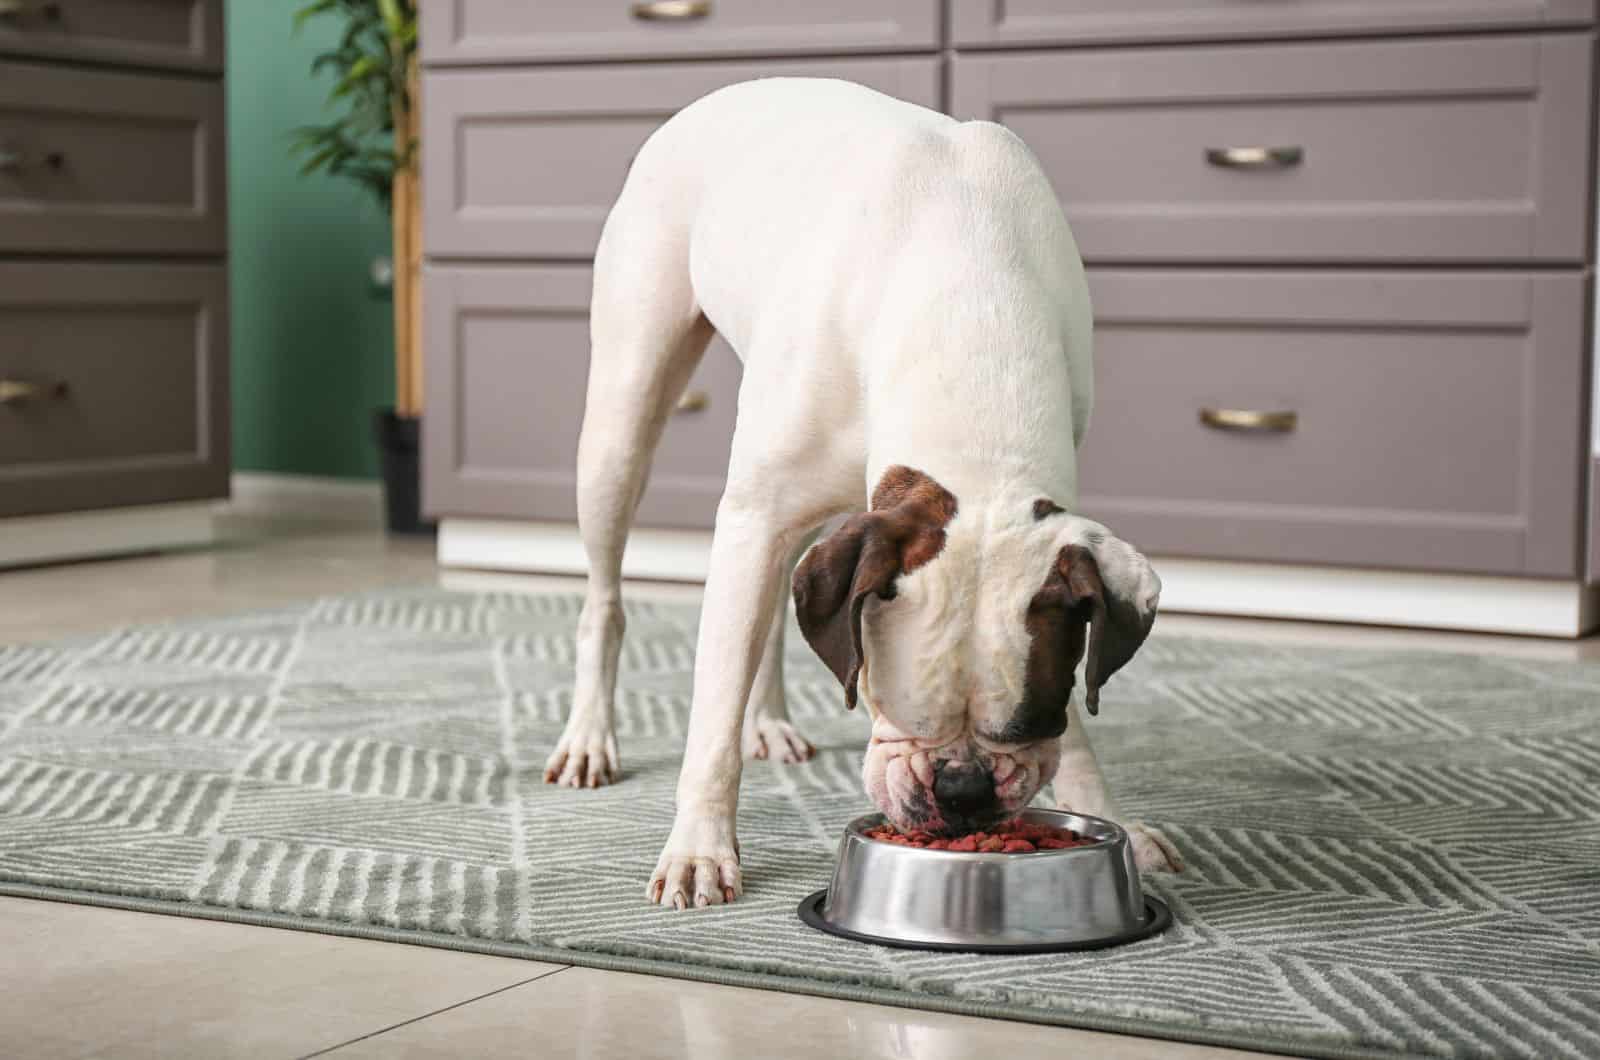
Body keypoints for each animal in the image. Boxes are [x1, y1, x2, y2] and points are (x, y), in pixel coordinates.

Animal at [544, 80, 1184, 915]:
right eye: (892, 709)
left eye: (1026, 723)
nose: (964, 791)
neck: (968, 303)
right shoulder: (756, 516)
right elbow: (710, 716)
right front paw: (699, 850)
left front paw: (1112, 819)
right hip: (622, 422)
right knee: (608, 599)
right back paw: (590, 737)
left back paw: (768, 721)